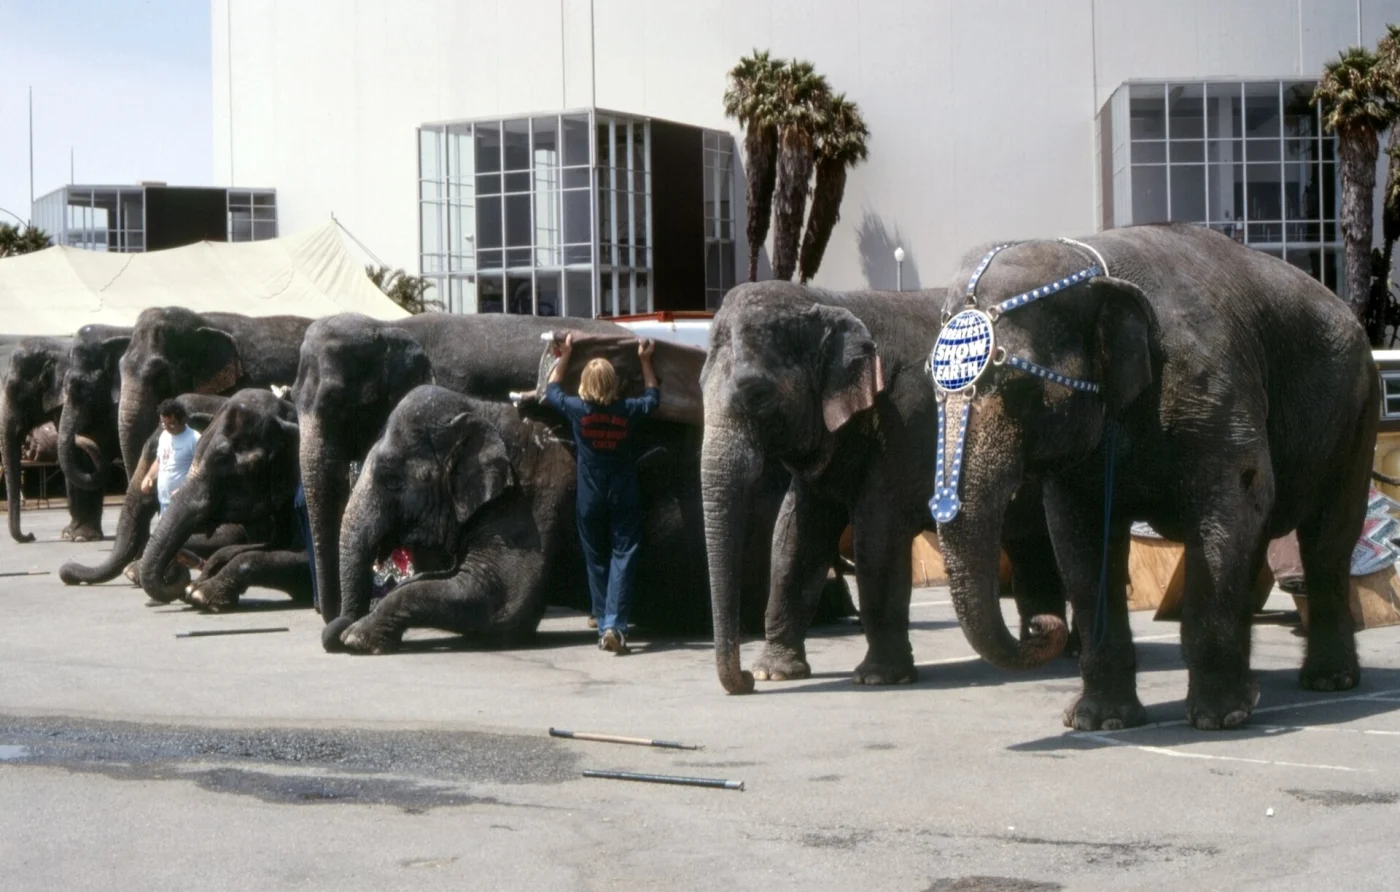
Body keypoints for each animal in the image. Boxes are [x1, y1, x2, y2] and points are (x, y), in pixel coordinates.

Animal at [322, 385, 784, 654]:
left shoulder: (532, 504)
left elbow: (499, 605)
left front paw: (359, 637)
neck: (482, 410)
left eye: (391, 478)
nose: (333, 635)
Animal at [699, 282, 1068, 694]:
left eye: (758, 395)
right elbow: (794, 539)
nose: (745, 682)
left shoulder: (907, 422)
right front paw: (776, 672)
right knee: (1032, 545)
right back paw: (1043, 646)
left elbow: (878, 536)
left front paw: (878, 678)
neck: (832, 301)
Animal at [930, 224, 1377, 731]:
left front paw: (1216, 720)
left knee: (1327, 538)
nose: (1042, 625)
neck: (1098, 264)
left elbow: (1233, 502)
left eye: (1021, 389)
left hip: (1357, 408)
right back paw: (1256, 690)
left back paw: (1326, 681)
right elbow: (1079, 537)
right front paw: (1098, 722)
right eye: (932, 386)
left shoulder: (1215, 389)